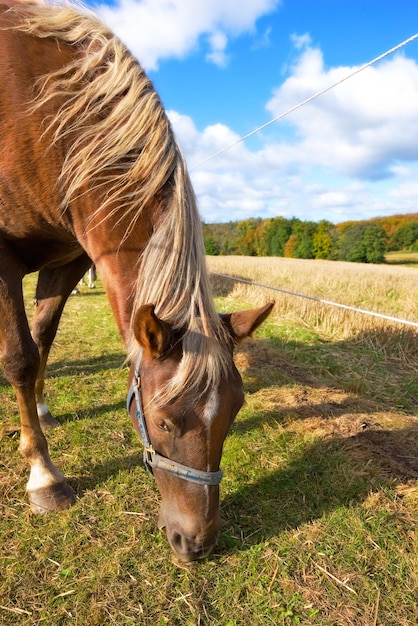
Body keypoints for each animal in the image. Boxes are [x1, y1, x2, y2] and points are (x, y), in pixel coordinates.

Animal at [0, 0, 274, 560]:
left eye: (236, 412)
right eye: (164, 421)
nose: (197, 542)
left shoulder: (68, 261)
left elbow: (42, 340)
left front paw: (37, 415)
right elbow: (19, 355)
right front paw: (43, 473)